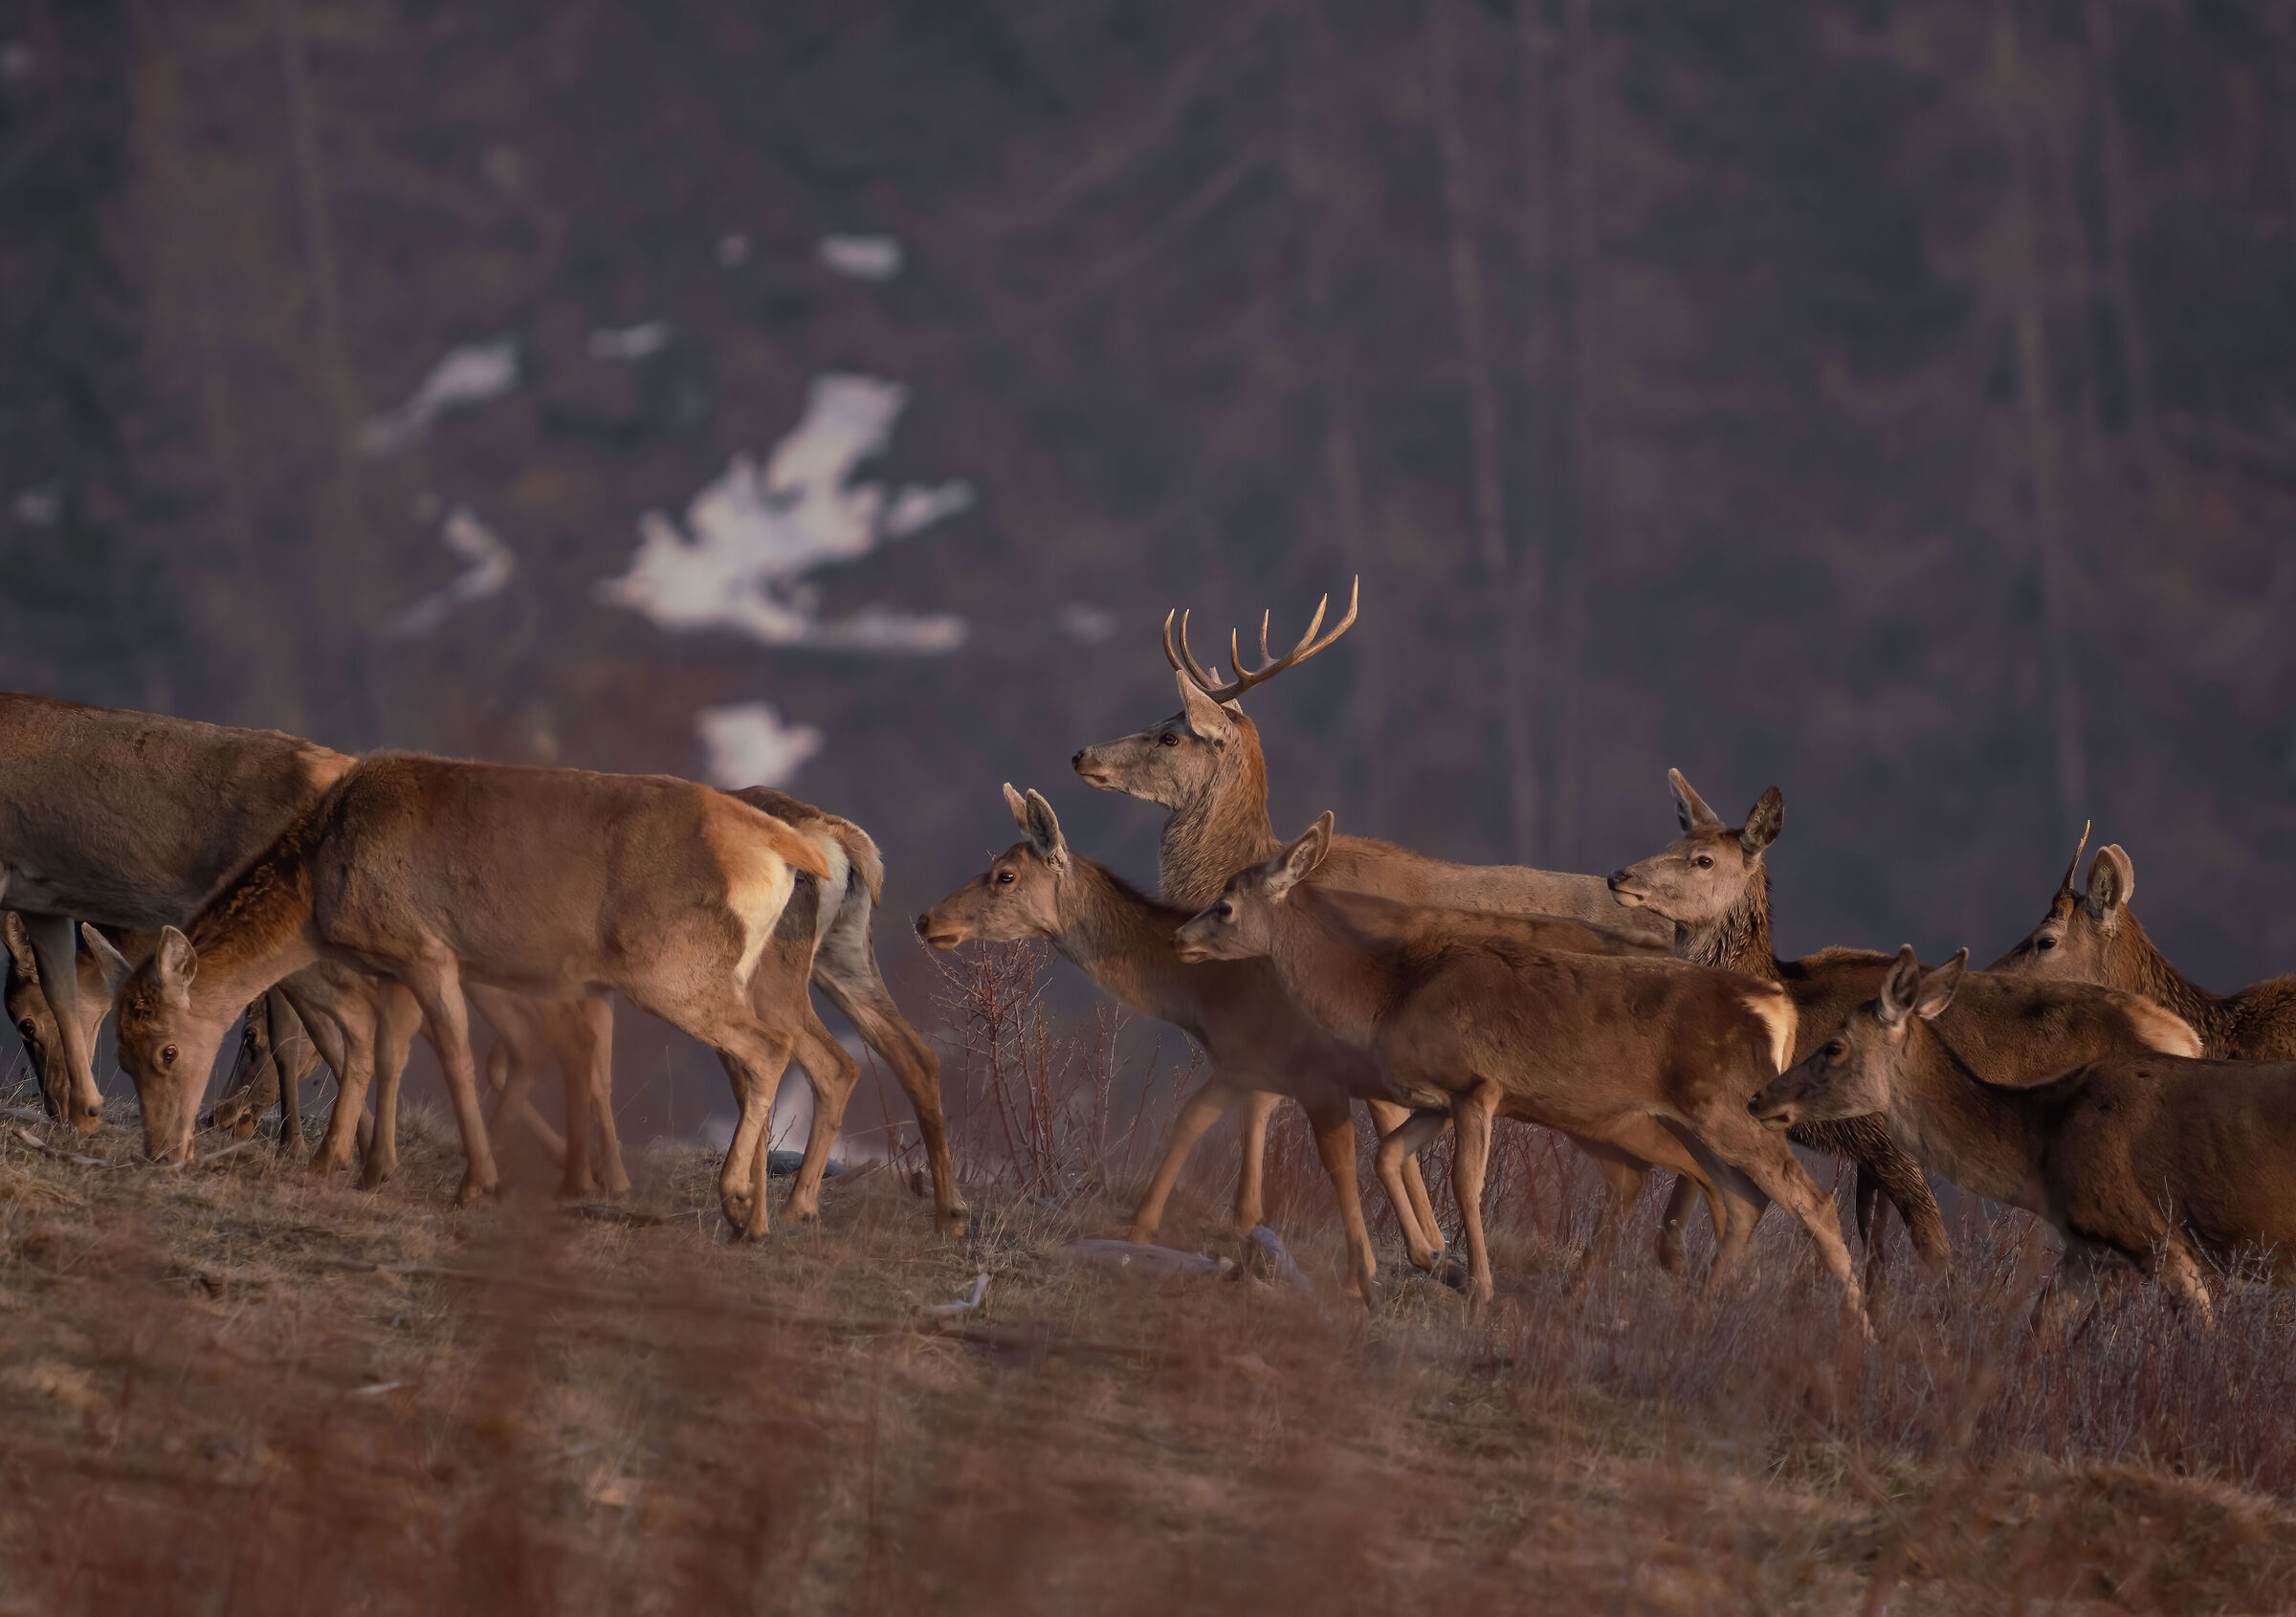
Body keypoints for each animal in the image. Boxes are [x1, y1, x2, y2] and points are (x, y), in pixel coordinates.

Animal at [94, 752, 833, 1236]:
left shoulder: (428, 949)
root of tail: (789, 851)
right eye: (120, 1052)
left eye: (164, 1050)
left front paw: (474, 1182)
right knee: (767, 1054)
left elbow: (449, 1053)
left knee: (769, 1047)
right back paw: (758, 1220)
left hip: (671, 970)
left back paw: (735, 1199)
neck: (319, 882)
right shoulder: (391, 966)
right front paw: (356, 1164)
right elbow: (381, 1049)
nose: (163, 1151)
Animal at [916, 787, 1739, 1295]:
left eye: (1003, 874)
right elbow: (1203, 1120)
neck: (1207, 998)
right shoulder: (1256, 1064)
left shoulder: (1313, 1067)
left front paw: (1382, 1268)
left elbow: (1338, 1160)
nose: (927, 920)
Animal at [1172, 812, 1866, 1327]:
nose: (1180, 937)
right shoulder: (1433, 1097)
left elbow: (1465, 1182)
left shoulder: (1476, 1084)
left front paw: (1478, 1288)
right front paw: (1442, 1265)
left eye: (1225, 906)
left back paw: (1858, 1333)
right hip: (1686, 1119)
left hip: (1726, 1107)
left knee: (1813, 1202)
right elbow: (1387, 1156)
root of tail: (1774, 1005)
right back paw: (1705, 1309)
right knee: (1743, 1198)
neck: (1387, 993)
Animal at [1607, 771, 2200, 1289]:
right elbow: (1874, 1255)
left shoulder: (1888, 1141)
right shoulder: (1867, 1155)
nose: (1619, 877)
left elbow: (1933, 1250)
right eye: (1672, 839)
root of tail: (2188, 1040)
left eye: (1703, 859)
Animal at [1750, 946, 2296, 1329]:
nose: (1759, 1097)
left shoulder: (2162, 1240)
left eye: (1834, 1046)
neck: (2046, 1141)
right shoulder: (2087, 1251)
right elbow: (2038, 1336)